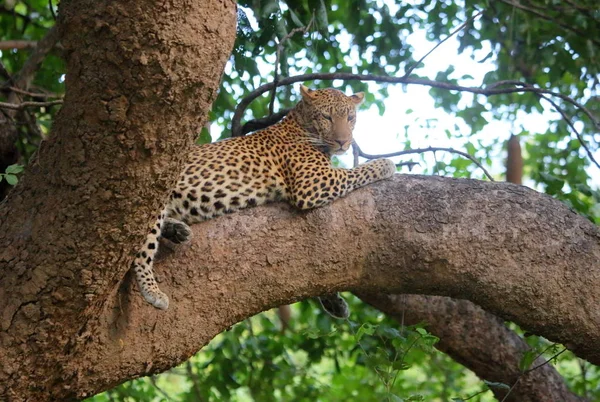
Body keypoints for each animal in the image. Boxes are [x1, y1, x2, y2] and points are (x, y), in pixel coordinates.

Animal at [131, 86, 396, 318]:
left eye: (350, 118)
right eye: (327, 117)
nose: (343, 142)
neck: (300, 124)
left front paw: (334, 302)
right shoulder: (312, 182)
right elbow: (355, 172)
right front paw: (386, 164)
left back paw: (177, 230)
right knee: (141, 251)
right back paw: (153, 290)